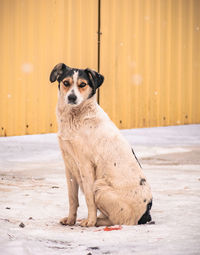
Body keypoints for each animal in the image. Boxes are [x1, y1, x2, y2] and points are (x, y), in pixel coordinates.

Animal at [49, 63, 152, 227]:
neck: (76, 118)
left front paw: (90, 221)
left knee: (116, 220)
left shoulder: (85, 165)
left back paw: (96, 221)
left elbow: (89, 199)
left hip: (100, 187)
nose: (71, 97)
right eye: (66, 83)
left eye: (82, 84)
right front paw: (71, 220)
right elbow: (72, 198)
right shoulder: (69, 165)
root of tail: (146, 215)